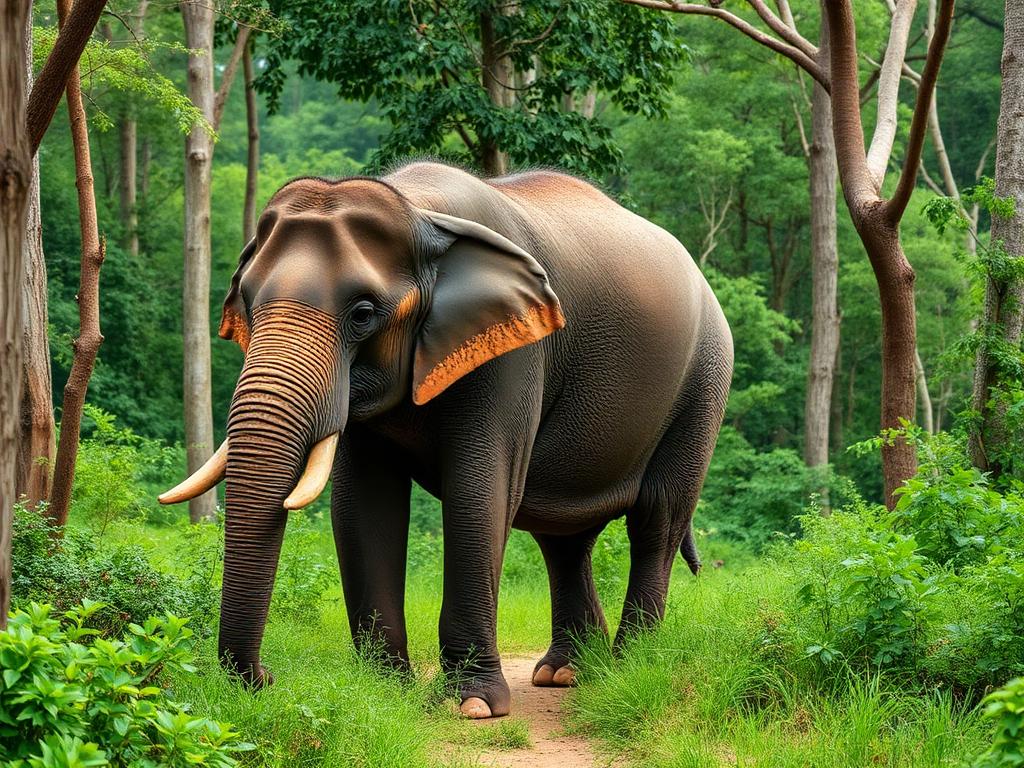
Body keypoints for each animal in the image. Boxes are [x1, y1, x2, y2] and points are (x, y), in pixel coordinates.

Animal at [159, 160, 733, 719]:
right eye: (247, 302)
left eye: (362, 313)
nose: (265, 678)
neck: (419, 211)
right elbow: (362, 502)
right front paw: (386, 693)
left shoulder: (515, 352)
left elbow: (478, 493)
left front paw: (472, 704)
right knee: (564, 537)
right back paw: (565, 673)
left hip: (703, 384)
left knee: (656, 520)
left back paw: (627, 665)